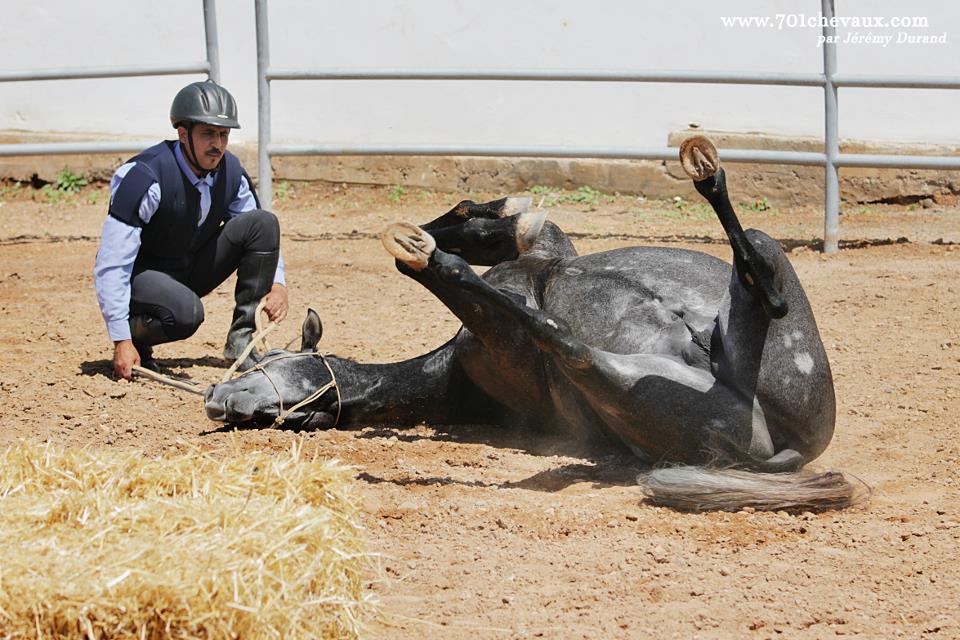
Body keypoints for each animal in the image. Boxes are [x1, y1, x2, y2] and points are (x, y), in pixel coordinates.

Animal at [202, 138, 864, 512]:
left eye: (266, 358)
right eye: (276, 421)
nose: (218, 398)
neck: (455, 375)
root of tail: (794, 448)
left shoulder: (542, 249)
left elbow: (495, 221)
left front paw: (434, 234)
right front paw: (426, 248)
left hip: (769, 299)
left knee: (755, 262)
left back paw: (707, 174)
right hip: (636, 387)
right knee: (568, 345)